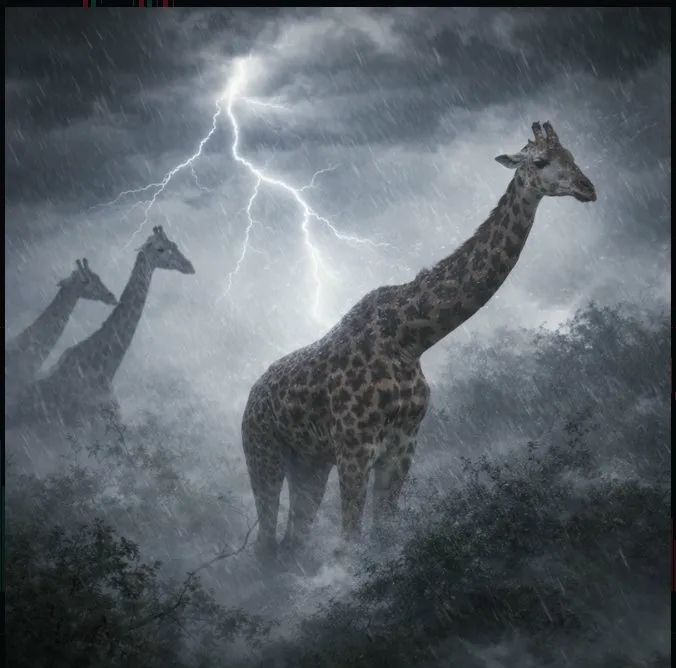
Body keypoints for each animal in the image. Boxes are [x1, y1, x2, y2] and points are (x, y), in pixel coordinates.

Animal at [241, 121, 597, 563]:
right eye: (541, 161)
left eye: (572, 155)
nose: (587, 187)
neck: (411, 337)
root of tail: (250, 398)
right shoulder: (354, 446)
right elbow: (350, 542)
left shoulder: (402, 447)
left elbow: (384, 535)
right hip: (264, 455)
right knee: (266, 546)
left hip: (308, 463)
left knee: (292, 542)